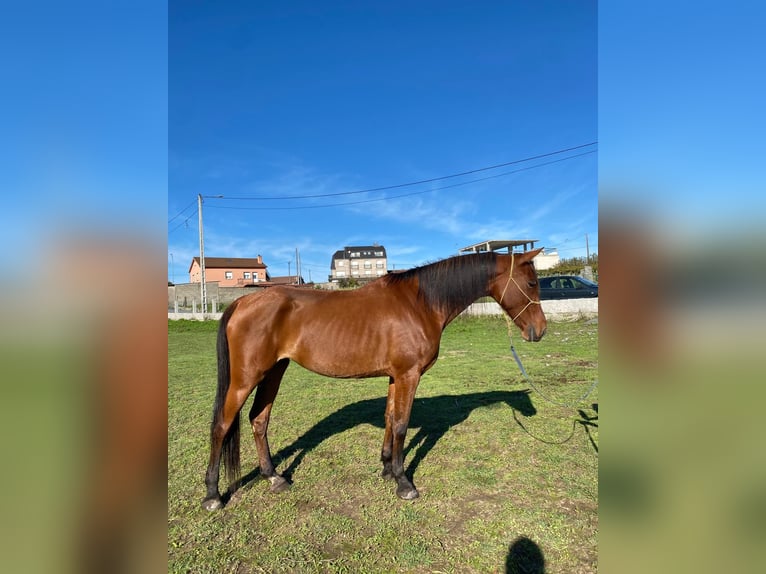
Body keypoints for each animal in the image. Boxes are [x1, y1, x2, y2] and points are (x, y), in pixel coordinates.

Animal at [201, 250, 548, 510]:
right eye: (532, 282)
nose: (540, 331)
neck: (419, 303)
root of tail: (242, 303)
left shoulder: (396, 376)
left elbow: (390, 417)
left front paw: (386, 468)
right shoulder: (409, 375)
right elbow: (402, 424)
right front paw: (404, 482)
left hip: (274, 371)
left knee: (259, 419)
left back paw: (273, 477)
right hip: (245, 378)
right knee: (222, 425)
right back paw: (213, 495)